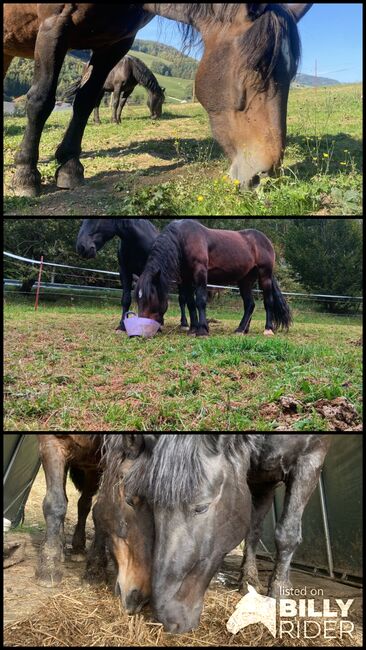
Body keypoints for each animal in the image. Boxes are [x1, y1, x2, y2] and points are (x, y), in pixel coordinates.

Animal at [3, 2, 312, 195]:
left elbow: (85, 102)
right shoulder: (54, 26)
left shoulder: (114, 43)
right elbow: (41, 101)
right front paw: (26, 175)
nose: (264, 176)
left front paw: (69, 167)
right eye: (255, 69)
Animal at [124, 432, 334, 632]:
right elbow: (253, 529)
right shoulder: (256, 477)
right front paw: (249, 580)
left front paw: (279, 593)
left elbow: (287, 532)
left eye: (201, 507)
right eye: (152, 508)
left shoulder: (310, 459)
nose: (165, 617)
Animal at [136, 220, 294, 336]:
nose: (141, 330)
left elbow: (200, 300)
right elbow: (190, 303)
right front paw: (193, 329)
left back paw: (268, 329)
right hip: (245, 280)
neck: (183, 238)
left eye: (150, 298)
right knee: (250, 304)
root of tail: (266, 241)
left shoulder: (200, 273)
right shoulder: (186, 278)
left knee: (268, 302)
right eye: (138, 299)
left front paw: (202, 330)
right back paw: (241, 330)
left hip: (264, 276)